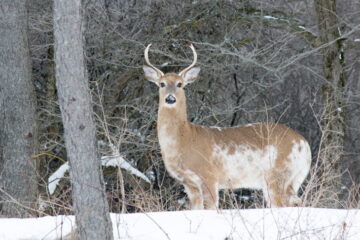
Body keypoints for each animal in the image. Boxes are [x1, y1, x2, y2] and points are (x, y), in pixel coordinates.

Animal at [142, 43, 310, 210]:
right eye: (162, 84)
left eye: (180, 84)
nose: (170, 98)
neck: (184, 139)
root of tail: (304, 145)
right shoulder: (189, 184)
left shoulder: (209, 175)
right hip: (292, 179)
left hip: (277, 174)